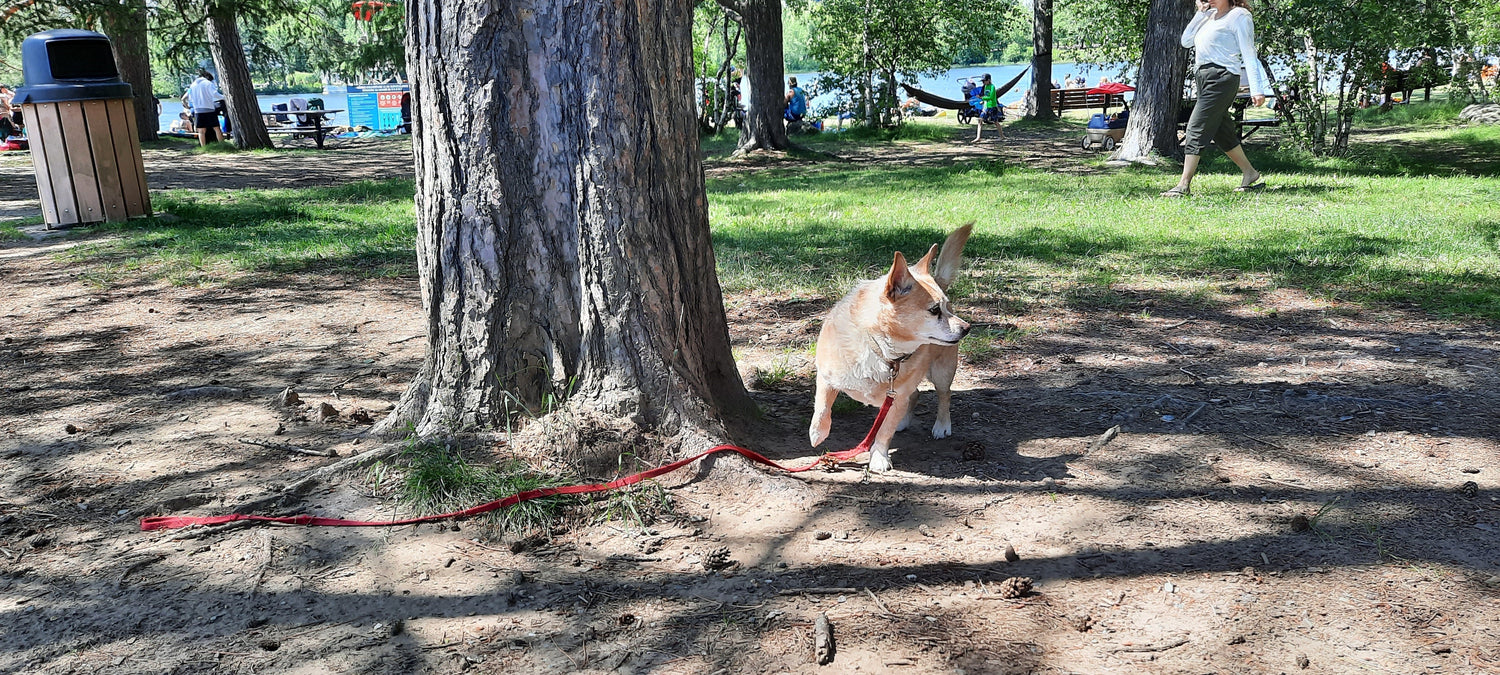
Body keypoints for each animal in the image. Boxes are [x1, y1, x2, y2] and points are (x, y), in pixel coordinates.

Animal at [810, 223, 972, 471]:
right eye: (935, 310)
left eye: (946, 307)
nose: (966, 328)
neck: (881, 350)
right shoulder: (826, 377)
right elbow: (822, 406)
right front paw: (817, 432)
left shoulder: (896, 397)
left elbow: (884, 432)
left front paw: (878, 457)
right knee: (916, 395)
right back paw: (904, 420)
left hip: (942, 372)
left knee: (944, 395)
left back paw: (942, 425)